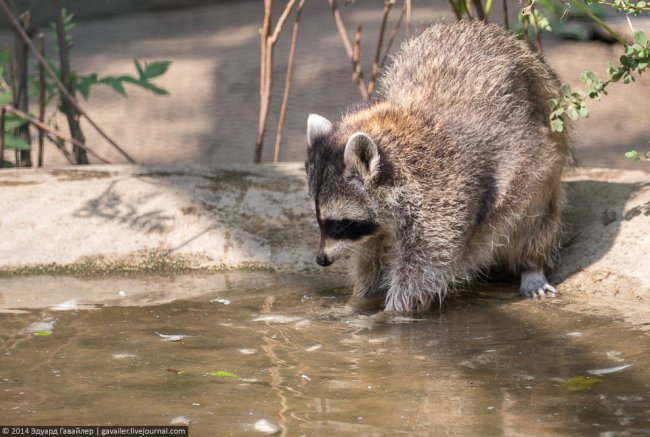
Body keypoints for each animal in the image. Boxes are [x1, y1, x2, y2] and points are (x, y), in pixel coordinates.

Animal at [302, 21, 568, 314]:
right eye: (320, 220)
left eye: (339, 224)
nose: (321, 259)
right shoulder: (379, 225)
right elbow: (371, 259)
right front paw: (359, 300)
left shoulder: (442, 199)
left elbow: (425, 269)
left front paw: (391, 313)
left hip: (543, 167)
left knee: (536, 218)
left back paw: (531, 264)